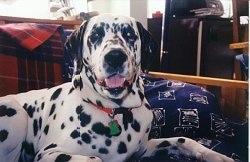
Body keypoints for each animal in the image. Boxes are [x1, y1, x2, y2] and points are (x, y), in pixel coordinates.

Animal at [0, 13, 234, 162]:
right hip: (17, 113)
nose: (114, 57)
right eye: (94, 36)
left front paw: (216, 155)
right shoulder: (49, 153)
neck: (117, 111)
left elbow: (183, 139)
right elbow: (94, 159)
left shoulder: (142, 150)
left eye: (130, 35)